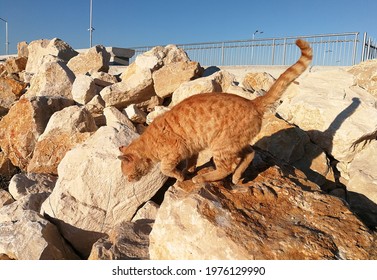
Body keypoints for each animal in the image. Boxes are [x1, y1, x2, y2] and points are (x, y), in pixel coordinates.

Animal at [118, 38, 312, 184]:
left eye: (128, 174)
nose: (128, 181)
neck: (149, 142)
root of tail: (252, 102)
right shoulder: (192, 148)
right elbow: (191, 160)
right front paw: (189, 170)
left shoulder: (173, 153)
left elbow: (167, 169)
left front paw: (181, 176)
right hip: (236, 143)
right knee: (250, 154)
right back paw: (236, 177)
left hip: (221, 146)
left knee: (227, 168)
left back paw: (203, 178)